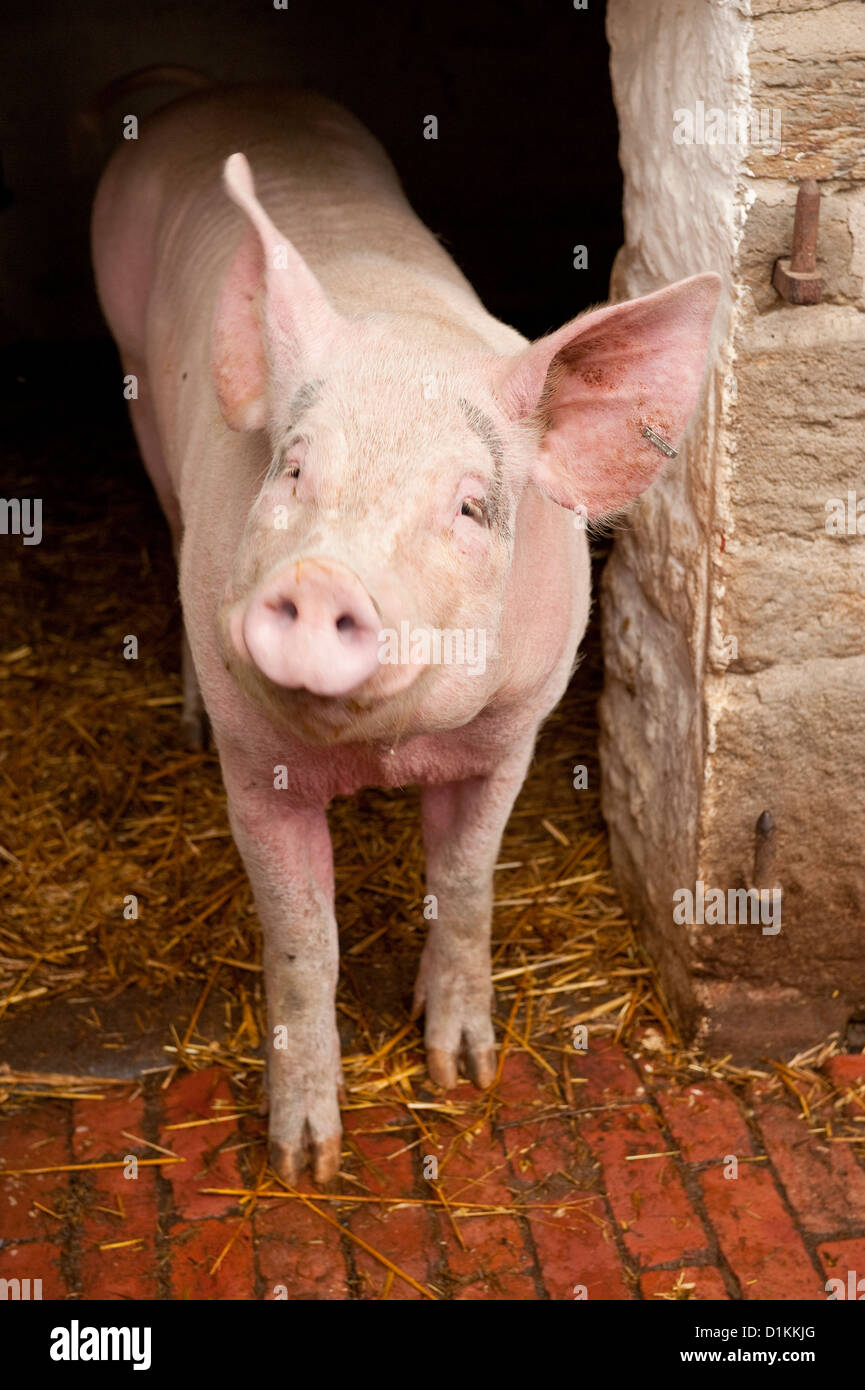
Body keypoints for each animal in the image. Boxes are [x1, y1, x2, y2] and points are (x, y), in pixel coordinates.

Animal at [92, 82, 719, 1184]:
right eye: (294, 467)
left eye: (468, 507)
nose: (318, 579)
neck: (387, 753)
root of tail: (192, 87)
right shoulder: (257, 774)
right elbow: (303, 943)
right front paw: (304, 1163)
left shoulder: (514, 732)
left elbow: (464, 885)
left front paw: (463, 1072)